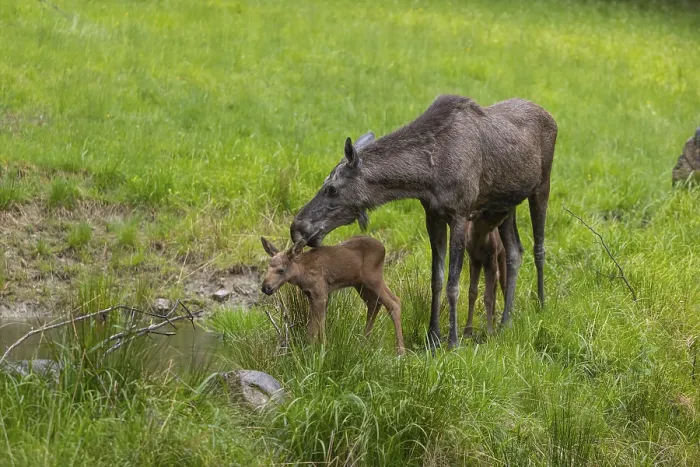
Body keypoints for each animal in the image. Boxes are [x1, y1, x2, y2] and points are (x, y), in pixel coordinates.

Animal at [260, 235, 405, 355]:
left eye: (281, 270)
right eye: (267, 267)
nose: (265, 287)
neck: (301, 274)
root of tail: (384, 248)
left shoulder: (321, 293)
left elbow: (316, 326)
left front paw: (318, 350)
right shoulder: (313, 295)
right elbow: (315, 325)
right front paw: (315, 348)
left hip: (373, 279)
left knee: (394, 302)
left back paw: (400, 351)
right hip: (360, 284)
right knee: (374, 304)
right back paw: (363, 343)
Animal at [290, 94, 557, 349]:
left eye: (331, 188)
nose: (297, 227)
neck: (427, 177)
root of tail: (550, 116)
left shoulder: (460, 214)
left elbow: (452, 283)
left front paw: (453, 340)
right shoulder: (433, 215)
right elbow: (436, 279)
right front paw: (432, 336)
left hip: (541, 186)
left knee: (539, 247)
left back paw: (541, 305)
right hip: (506, 205)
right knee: (515, 251)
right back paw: (505, 322)